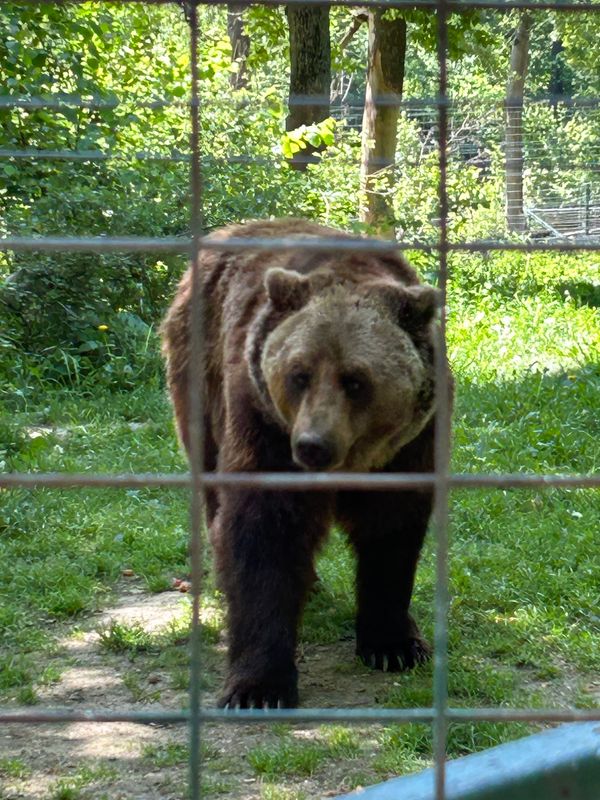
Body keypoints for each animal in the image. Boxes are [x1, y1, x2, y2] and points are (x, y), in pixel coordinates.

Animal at [161, 217, 446, 708]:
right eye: (299, 374)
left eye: (355, 380)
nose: (314, 445)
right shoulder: (265, 426)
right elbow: (263, 532)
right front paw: (258, 686)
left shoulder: (408, 445)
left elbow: (391, 529)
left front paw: (394, 644)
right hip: (199, 373)